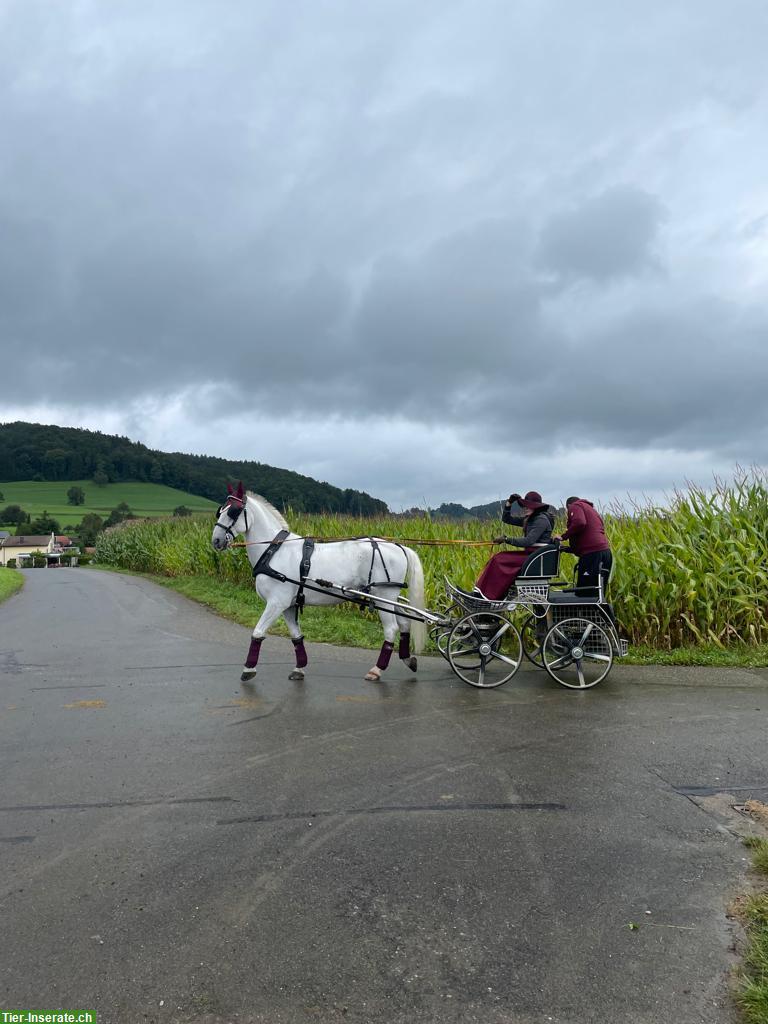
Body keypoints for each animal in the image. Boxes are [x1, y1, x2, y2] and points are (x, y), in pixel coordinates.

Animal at [210, 483, 428, 684]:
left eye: (233, 511)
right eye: (220, 510)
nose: (216, 541)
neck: (274, 550)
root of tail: (399, 546)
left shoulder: (276, 602)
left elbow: (258, 632)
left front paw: (248, 669)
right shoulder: (288, 605)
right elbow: (296, 636)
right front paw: (299, 668)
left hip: (383, 596)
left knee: (391, 628)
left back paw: (377, 670)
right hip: (390, 597)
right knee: (405, 622)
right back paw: (408, 659)